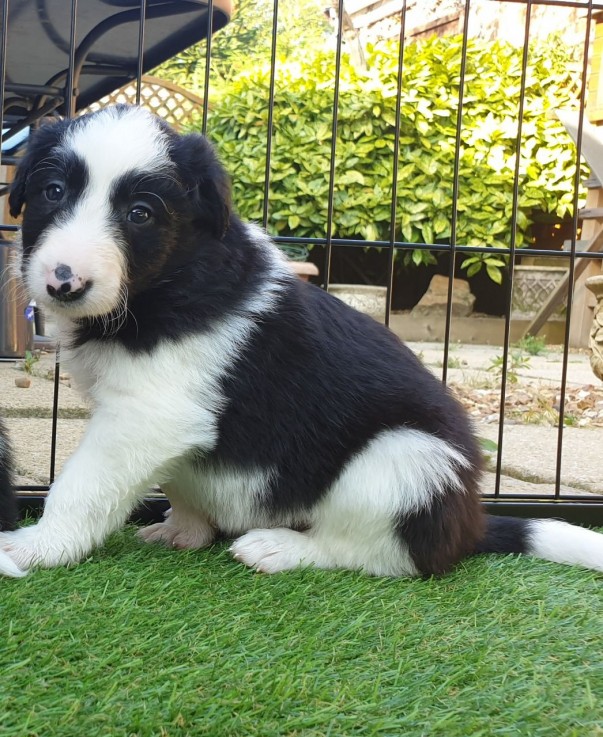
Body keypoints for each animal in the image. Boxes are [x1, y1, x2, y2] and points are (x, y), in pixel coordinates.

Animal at [1, 103, 603, 576]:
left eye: (140, 214)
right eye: (53, 192)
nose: (64, 281)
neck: (169, 281)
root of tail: (470, 523)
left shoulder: (147, 414)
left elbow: (81, 487)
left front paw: (36, 548)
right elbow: (165, 477)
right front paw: (180, 527)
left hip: (406, 459)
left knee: (384, 554)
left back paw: (282, 548)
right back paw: (188, 531)